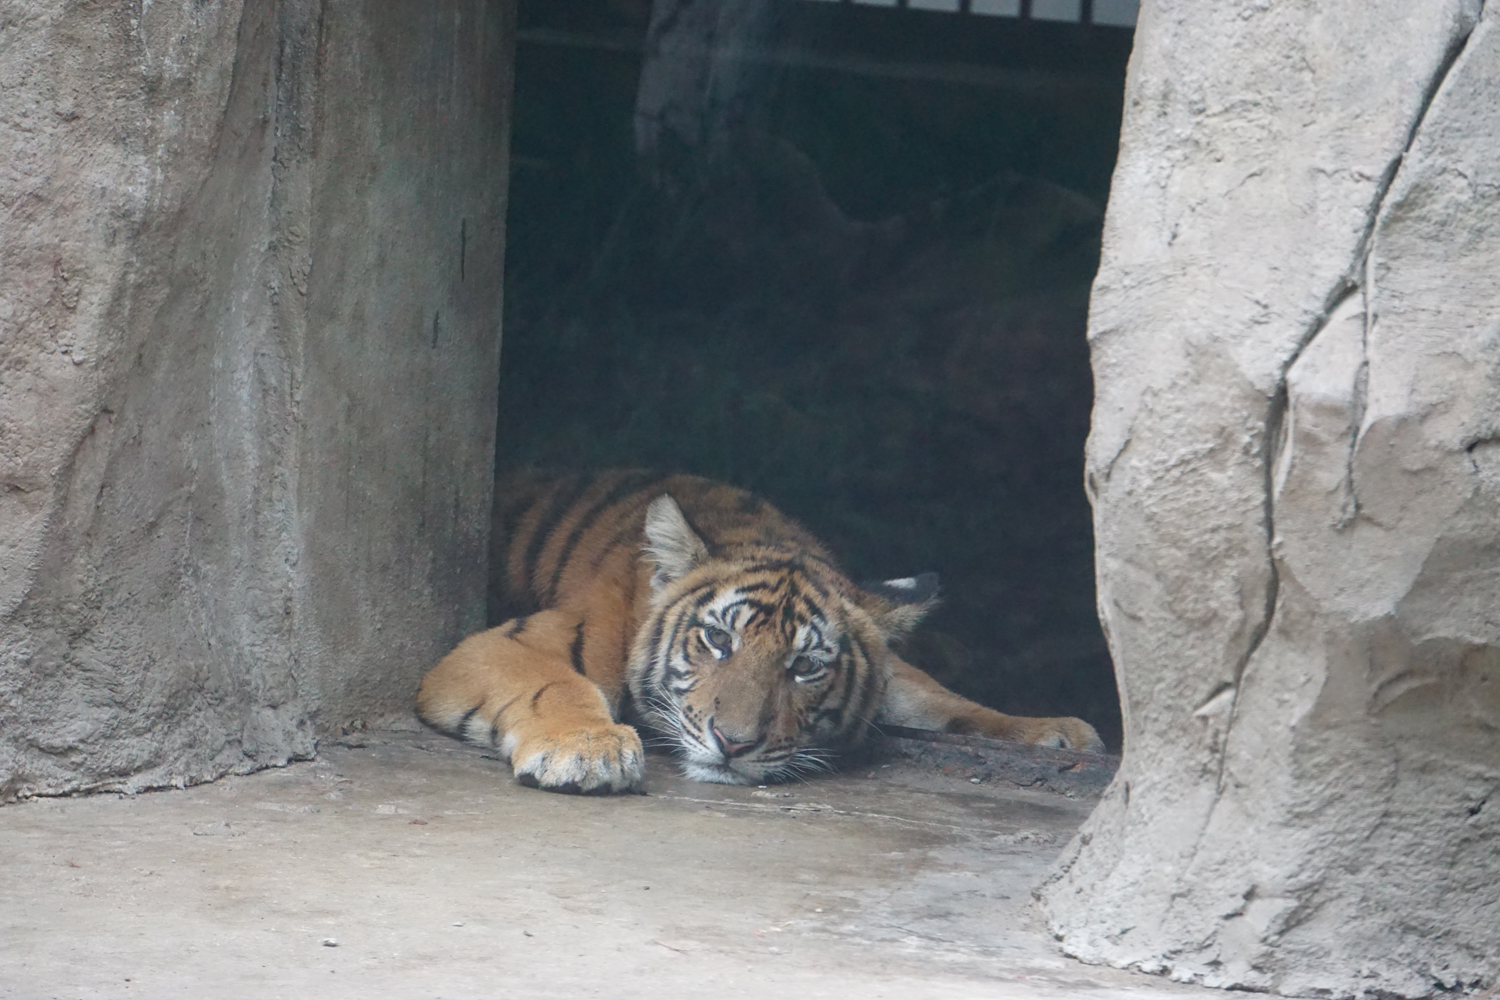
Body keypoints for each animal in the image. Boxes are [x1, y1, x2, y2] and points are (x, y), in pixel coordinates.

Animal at [416, 469, 1104, 793]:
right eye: (718, 640)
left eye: (804, 667)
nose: (734, 744)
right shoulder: (511, 643)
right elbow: (557, 684)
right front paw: (588, 750)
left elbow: (937, 695)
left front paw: (1055, 731)